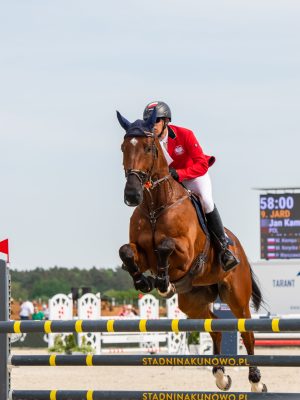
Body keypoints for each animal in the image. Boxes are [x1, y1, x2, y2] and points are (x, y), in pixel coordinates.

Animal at [117, 108, 268, 392]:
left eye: (149, 148)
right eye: (123, 147)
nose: (131, 195)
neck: (156, 205)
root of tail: (240, 248)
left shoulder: (185, 255)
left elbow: (165, 247)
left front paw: (162, 282)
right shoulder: (141, 253)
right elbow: (126, 252)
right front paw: (145, 281)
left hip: (236, 295)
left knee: (247, 331)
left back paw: (256, 381)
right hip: (192, 301)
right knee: (215, 325)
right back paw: (221, 376)